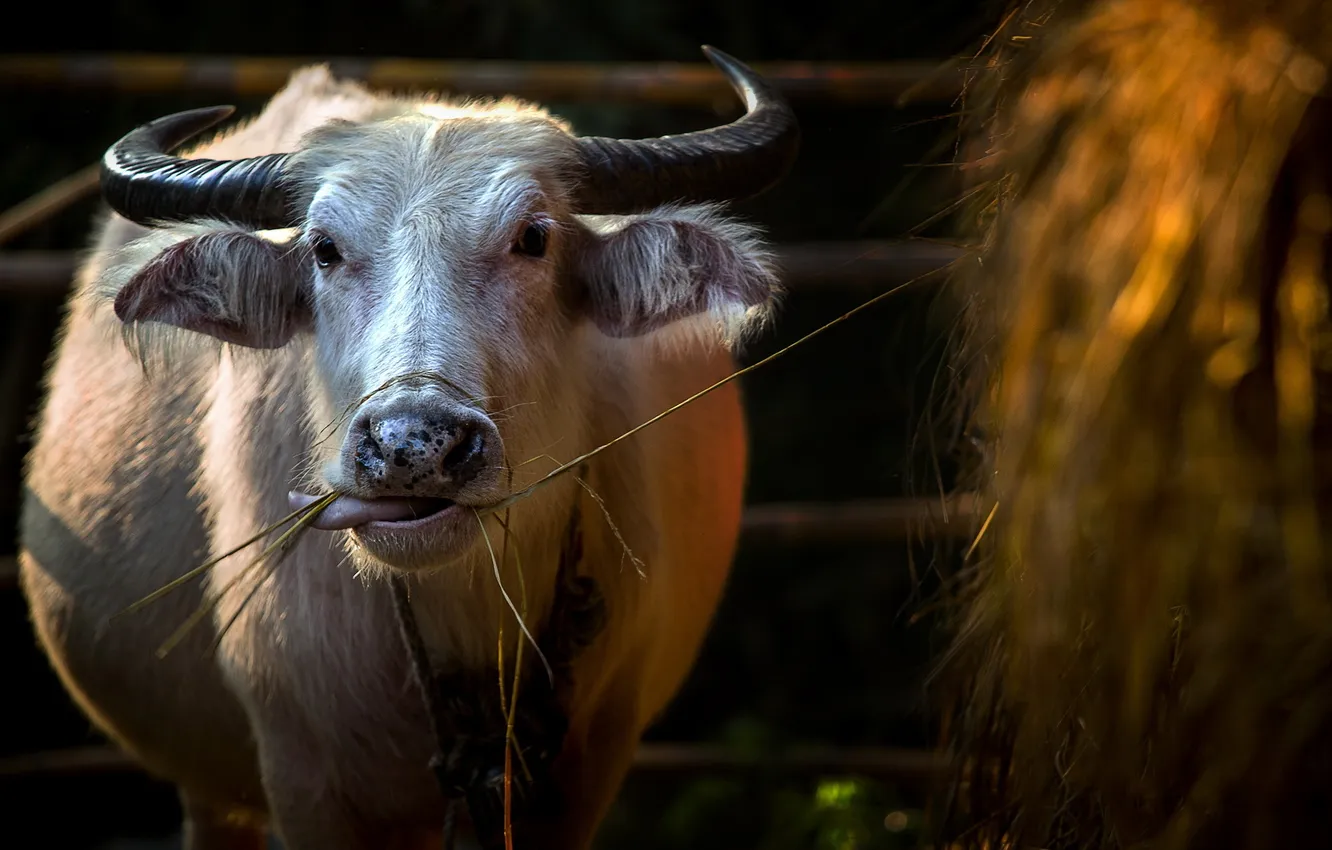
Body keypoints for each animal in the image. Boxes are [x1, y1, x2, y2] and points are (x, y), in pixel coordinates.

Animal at [17, 46, 798, 850]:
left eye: (534, 238)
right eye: (324, 250)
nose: (413, 446)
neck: (466, 614)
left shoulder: (587, 774)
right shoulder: (305, 782)